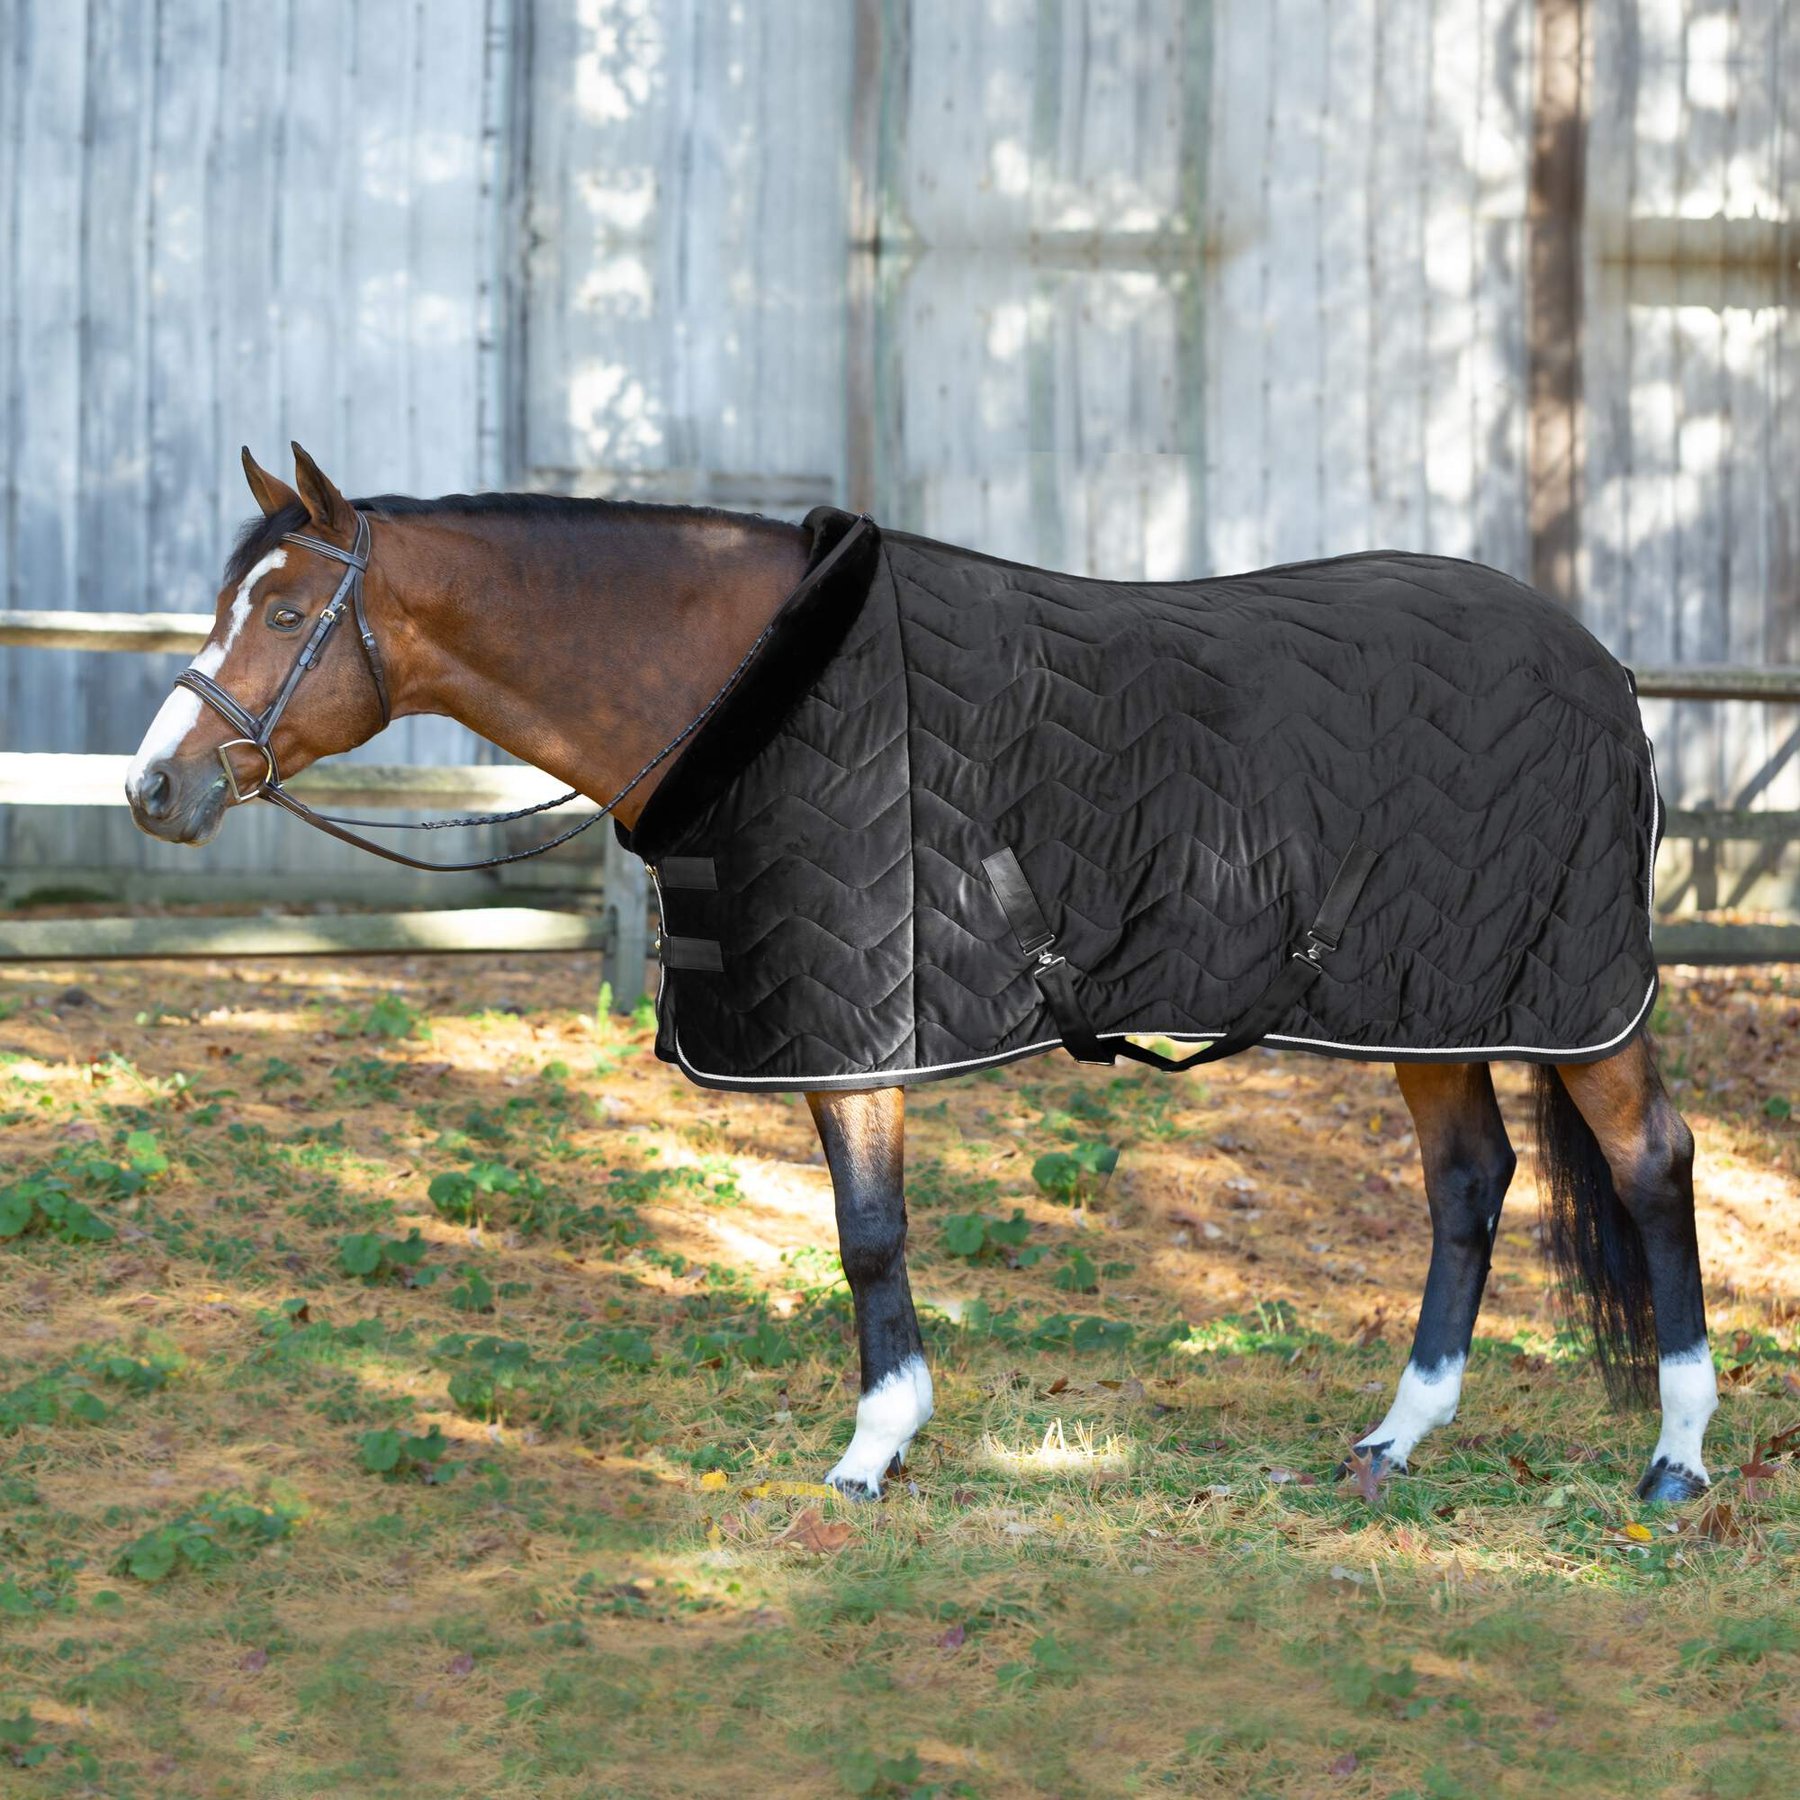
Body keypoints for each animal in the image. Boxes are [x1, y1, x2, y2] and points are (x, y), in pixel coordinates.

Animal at [125, 444, 1716, 1503]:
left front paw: (873, 1448)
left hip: (1573, 1003)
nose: (155, 786)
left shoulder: (865, 1029)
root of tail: (1603, 663)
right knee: (1471, 1182)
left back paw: (1676, 1459)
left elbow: (868, 1233)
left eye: (284, 616)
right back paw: (1399, 1435)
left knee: (1650, 1163)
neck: (754, 685)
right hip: (1430, 1002)